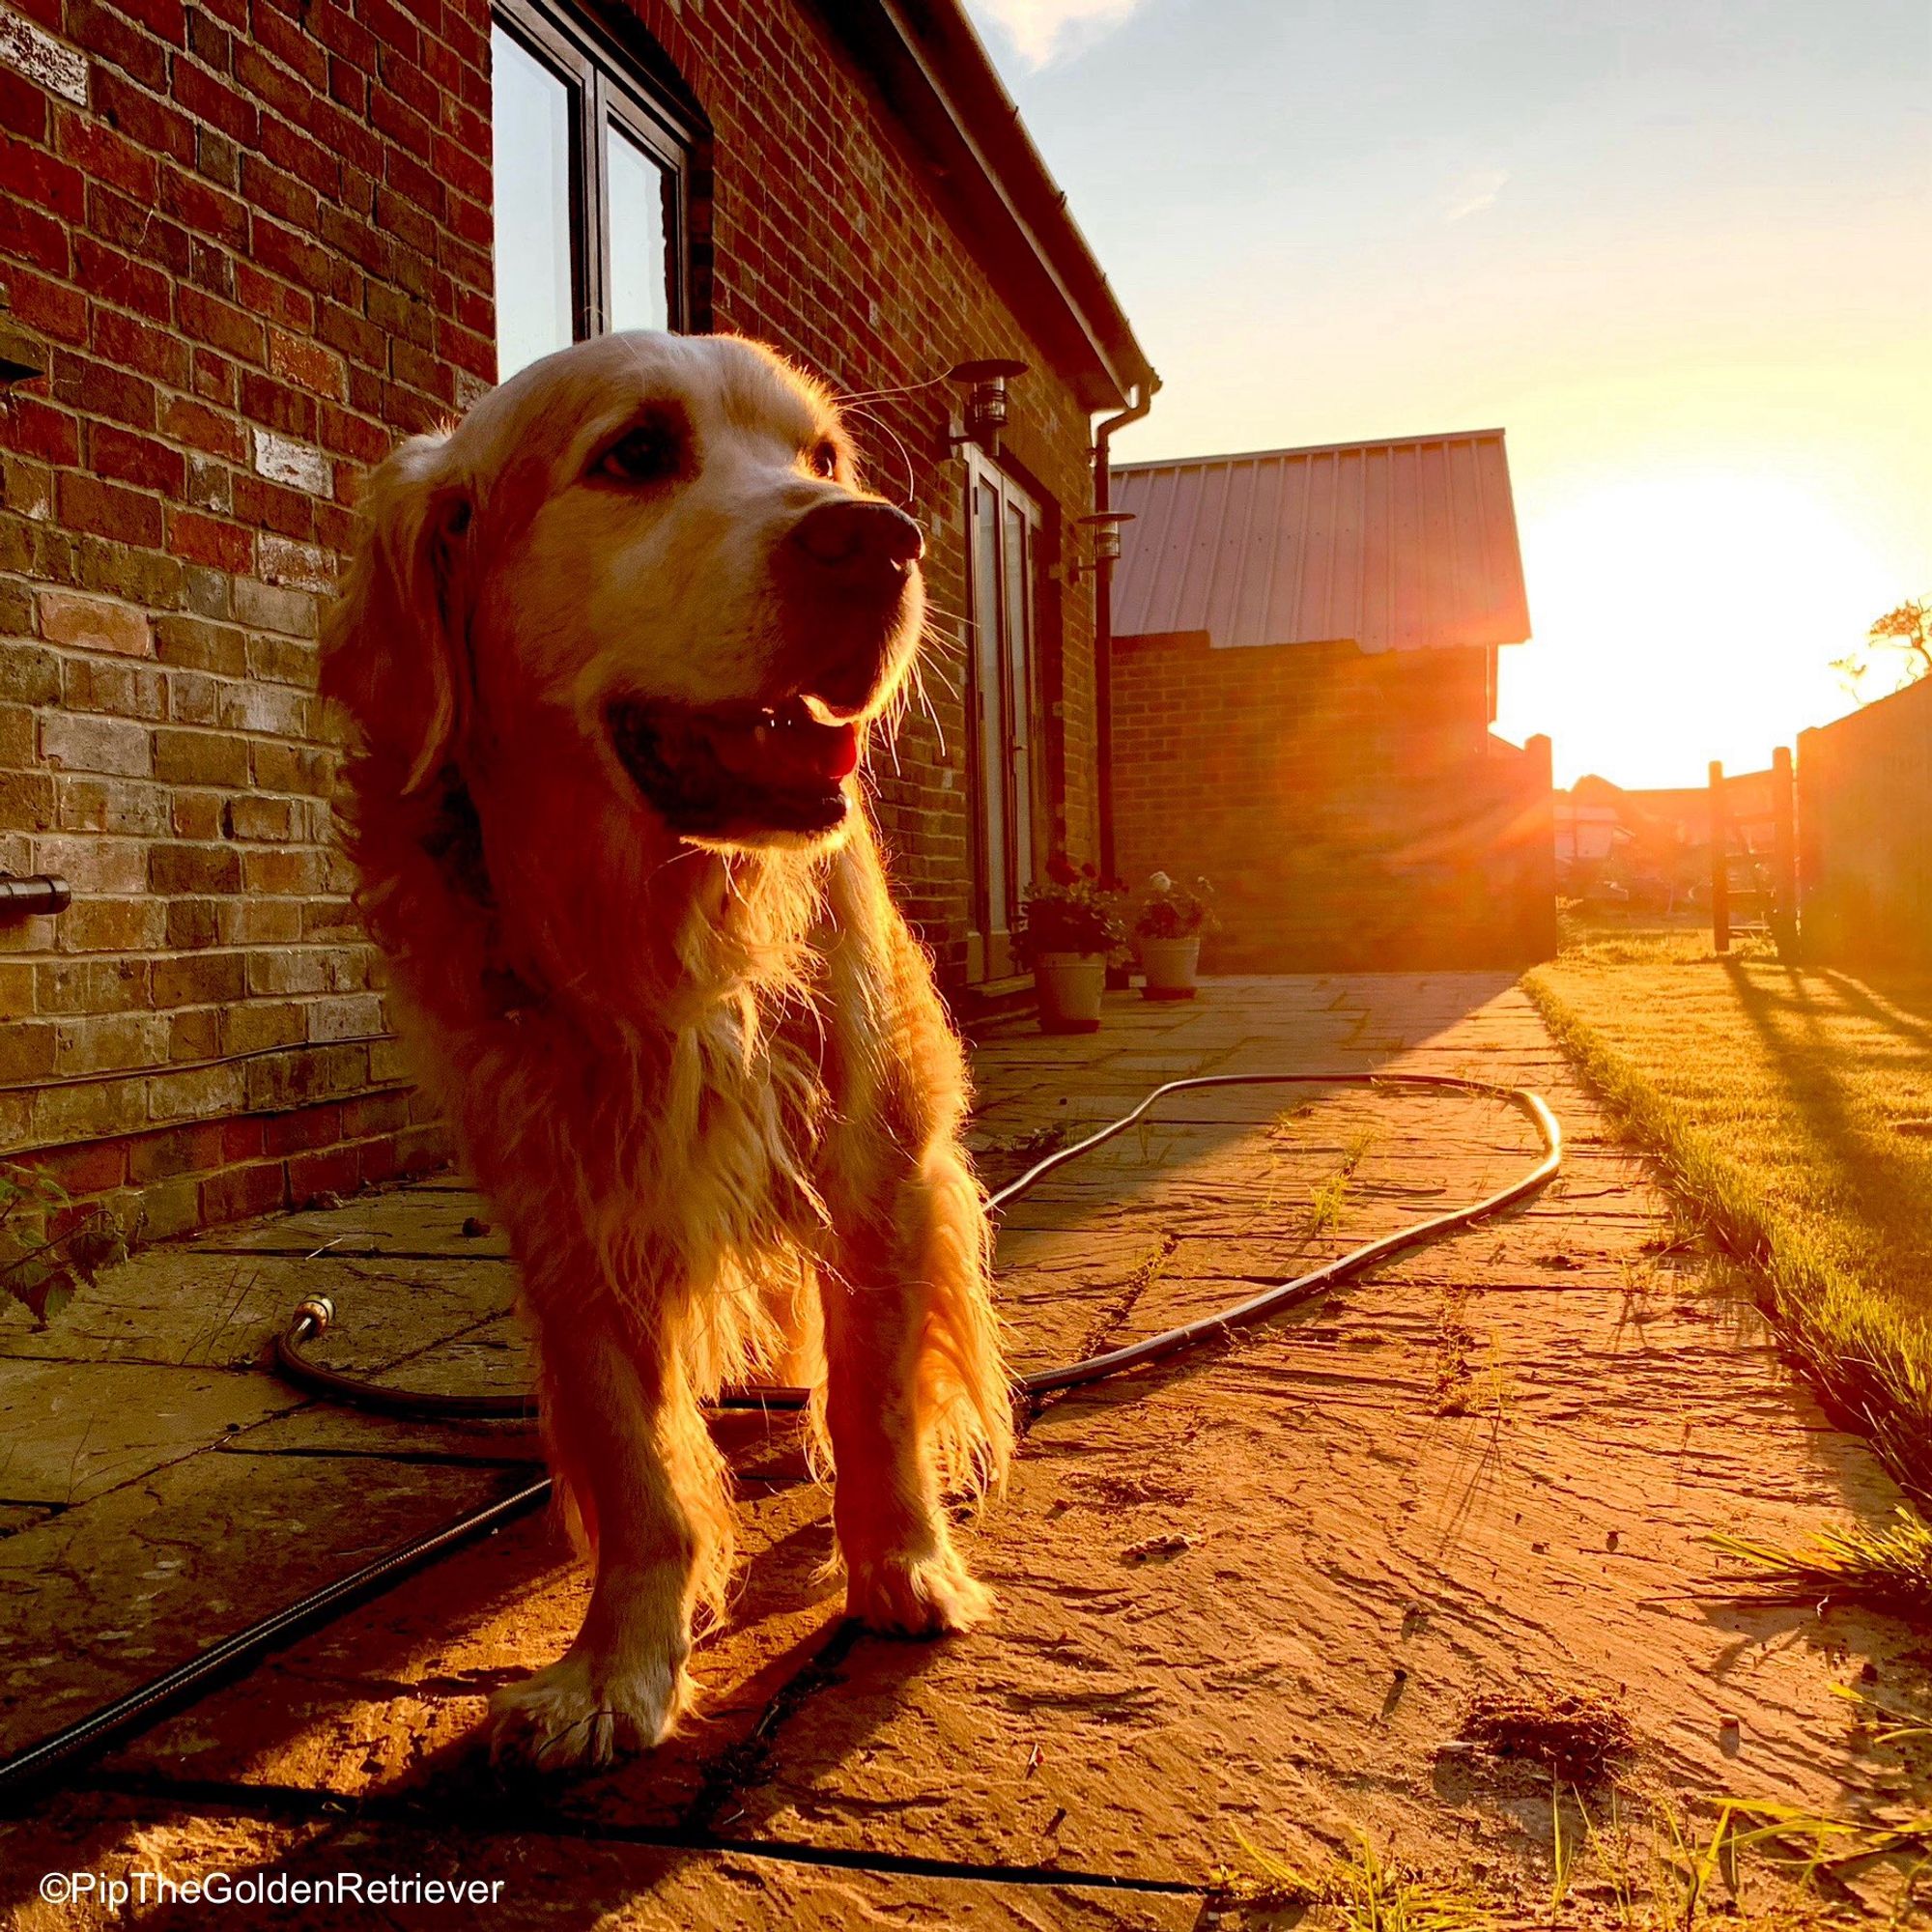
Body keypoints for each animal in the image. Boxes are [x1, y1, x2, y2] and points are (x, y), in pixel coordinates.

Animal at [321, 328, 1012, 1770]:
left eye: (822, 458)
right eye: (636, 452)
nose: (879, 541)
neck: (661, 933)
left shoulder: (872, 1169)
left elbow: (875, 1402)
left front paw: (902, 1568)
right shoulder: (567, 1206)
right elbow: (636, 1467)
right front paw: (613, 1669)